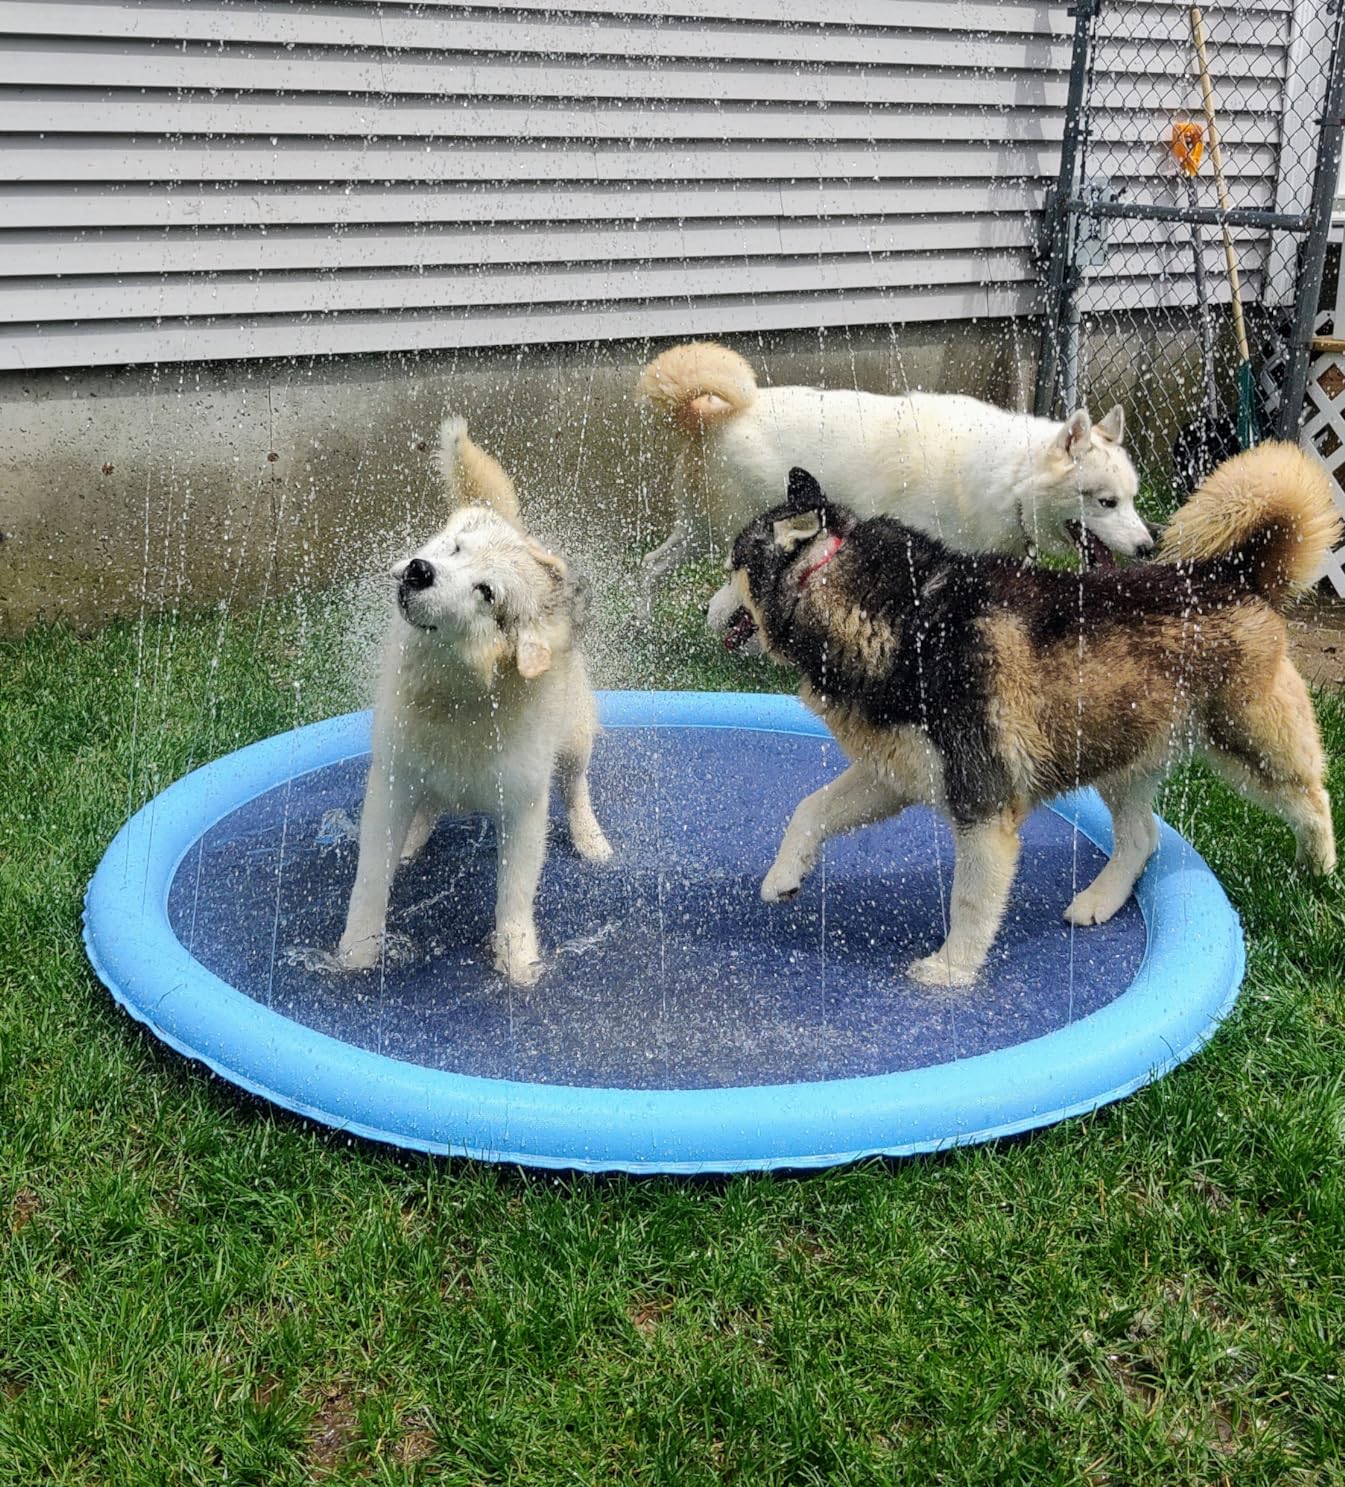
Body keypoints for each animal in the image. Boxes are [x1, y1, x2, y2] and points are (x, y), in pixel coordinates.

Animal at [335, 419, 609, 981]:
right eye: (456, 549)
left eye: (487, 592)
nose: (419, 570)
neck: (458, 696)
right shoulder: (392, 780)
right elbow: (371, 876)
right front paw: (356, 953)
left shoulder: (523, 804)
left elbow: (515, 894)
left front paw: (519, 962)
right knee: (427, 805)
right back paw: (415, 837)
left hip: (573, 736)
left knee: (576, 786)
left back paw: (590, 837)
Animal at [636, 340, 1147, 609]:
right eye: (1106, 502)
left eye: (1132, 499)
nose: (1147, 547)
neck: (1010, 477)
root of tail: (707, 415)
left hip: (698, 534)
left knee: (650, 566)